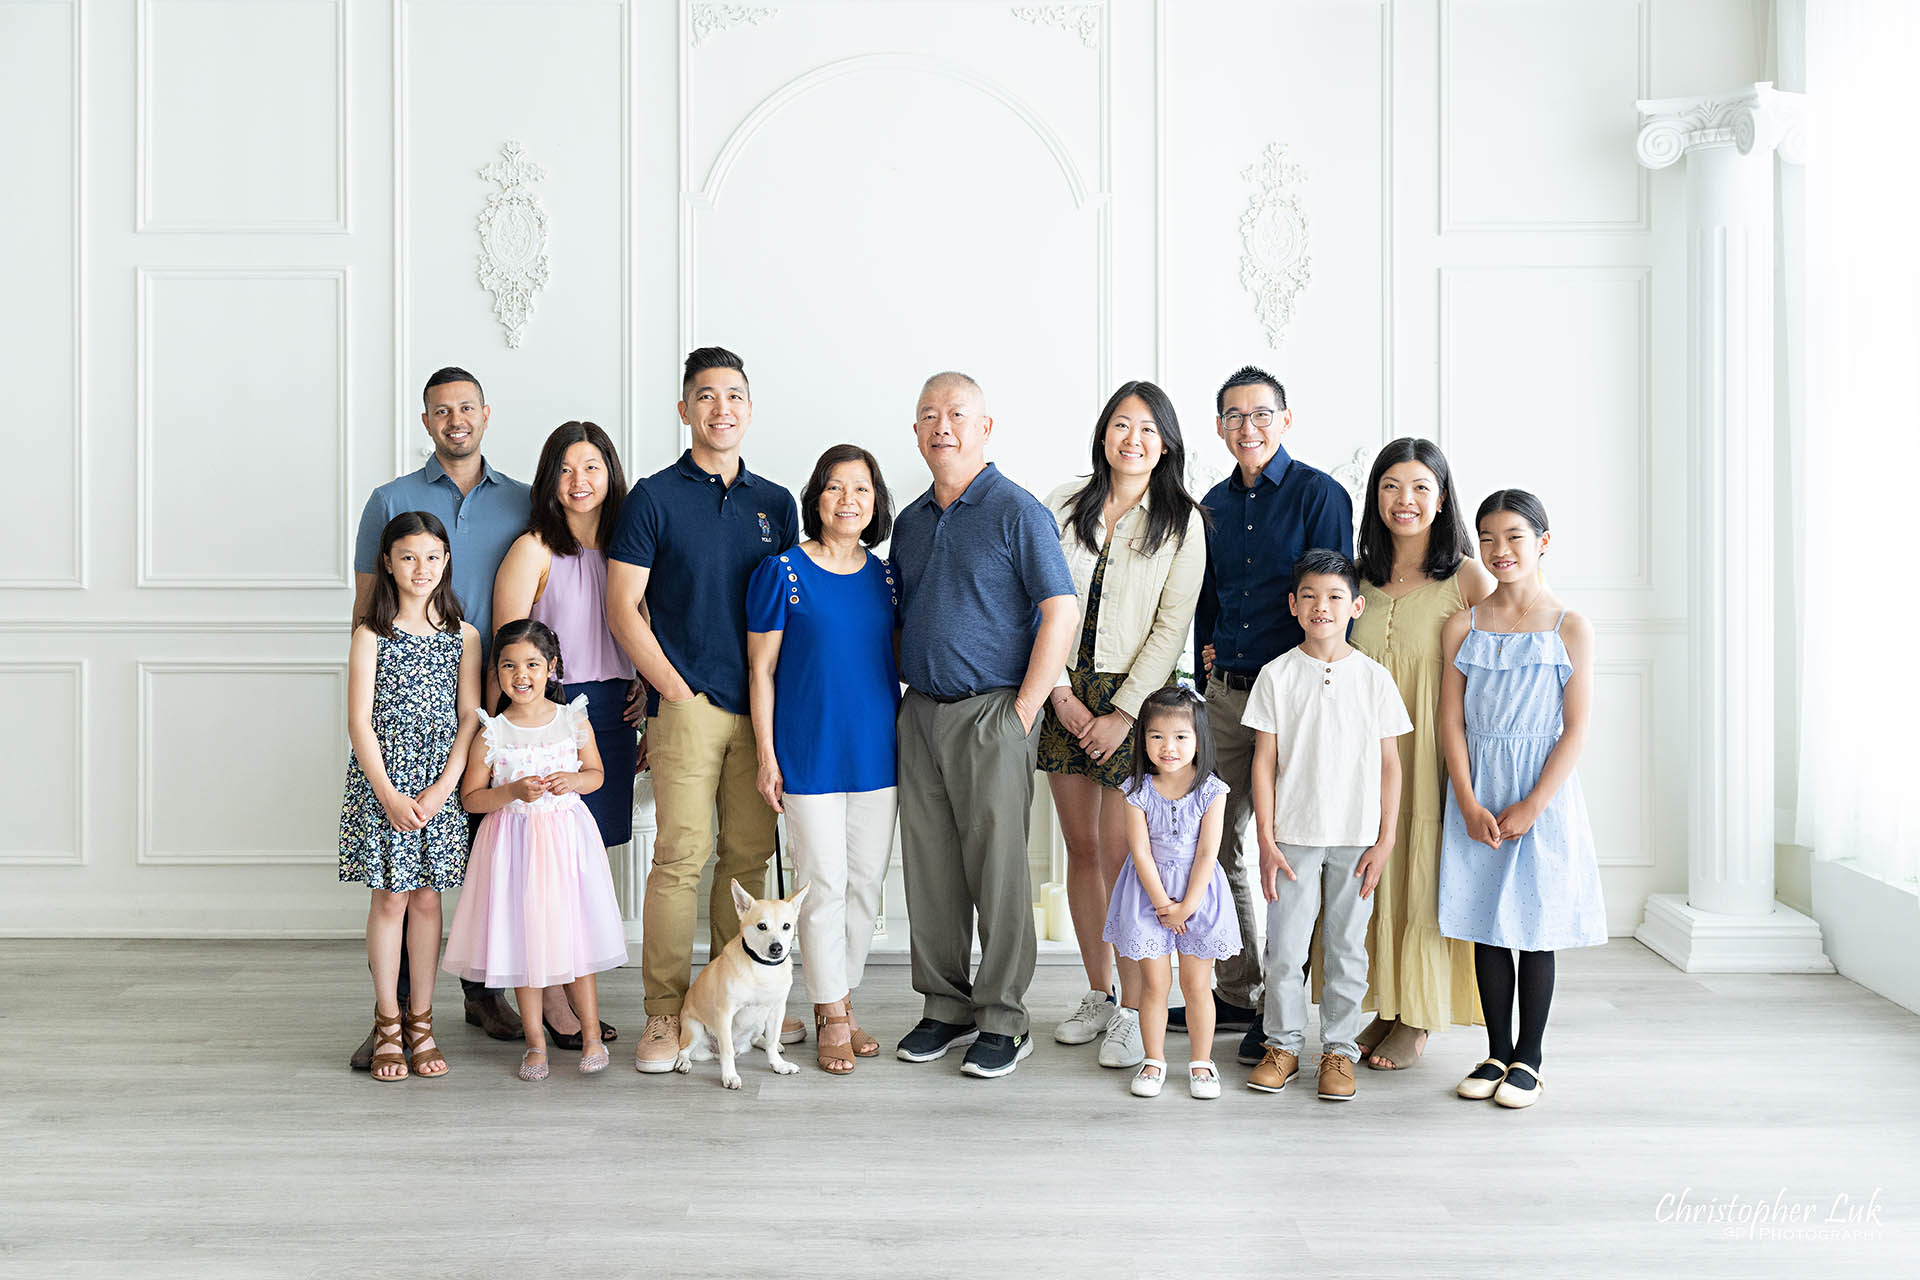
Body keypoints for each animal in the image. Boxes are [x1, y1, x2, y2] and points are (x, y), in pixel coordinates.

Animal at [675, 882, 810, 1090]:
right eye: (762, 926)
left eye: (786, 926)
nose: (777, 948)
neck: (764, 968)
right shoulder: (725, 1013)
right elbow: (727, 1050)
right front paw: (730, 1076)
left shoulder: (777, 1011)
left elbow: (772, 1040)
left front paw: (778, 1064)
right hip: (694, 1029)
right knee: (683, 1050)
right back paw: (684, 1062)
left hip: (759, 1023)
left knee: (758, 1040)